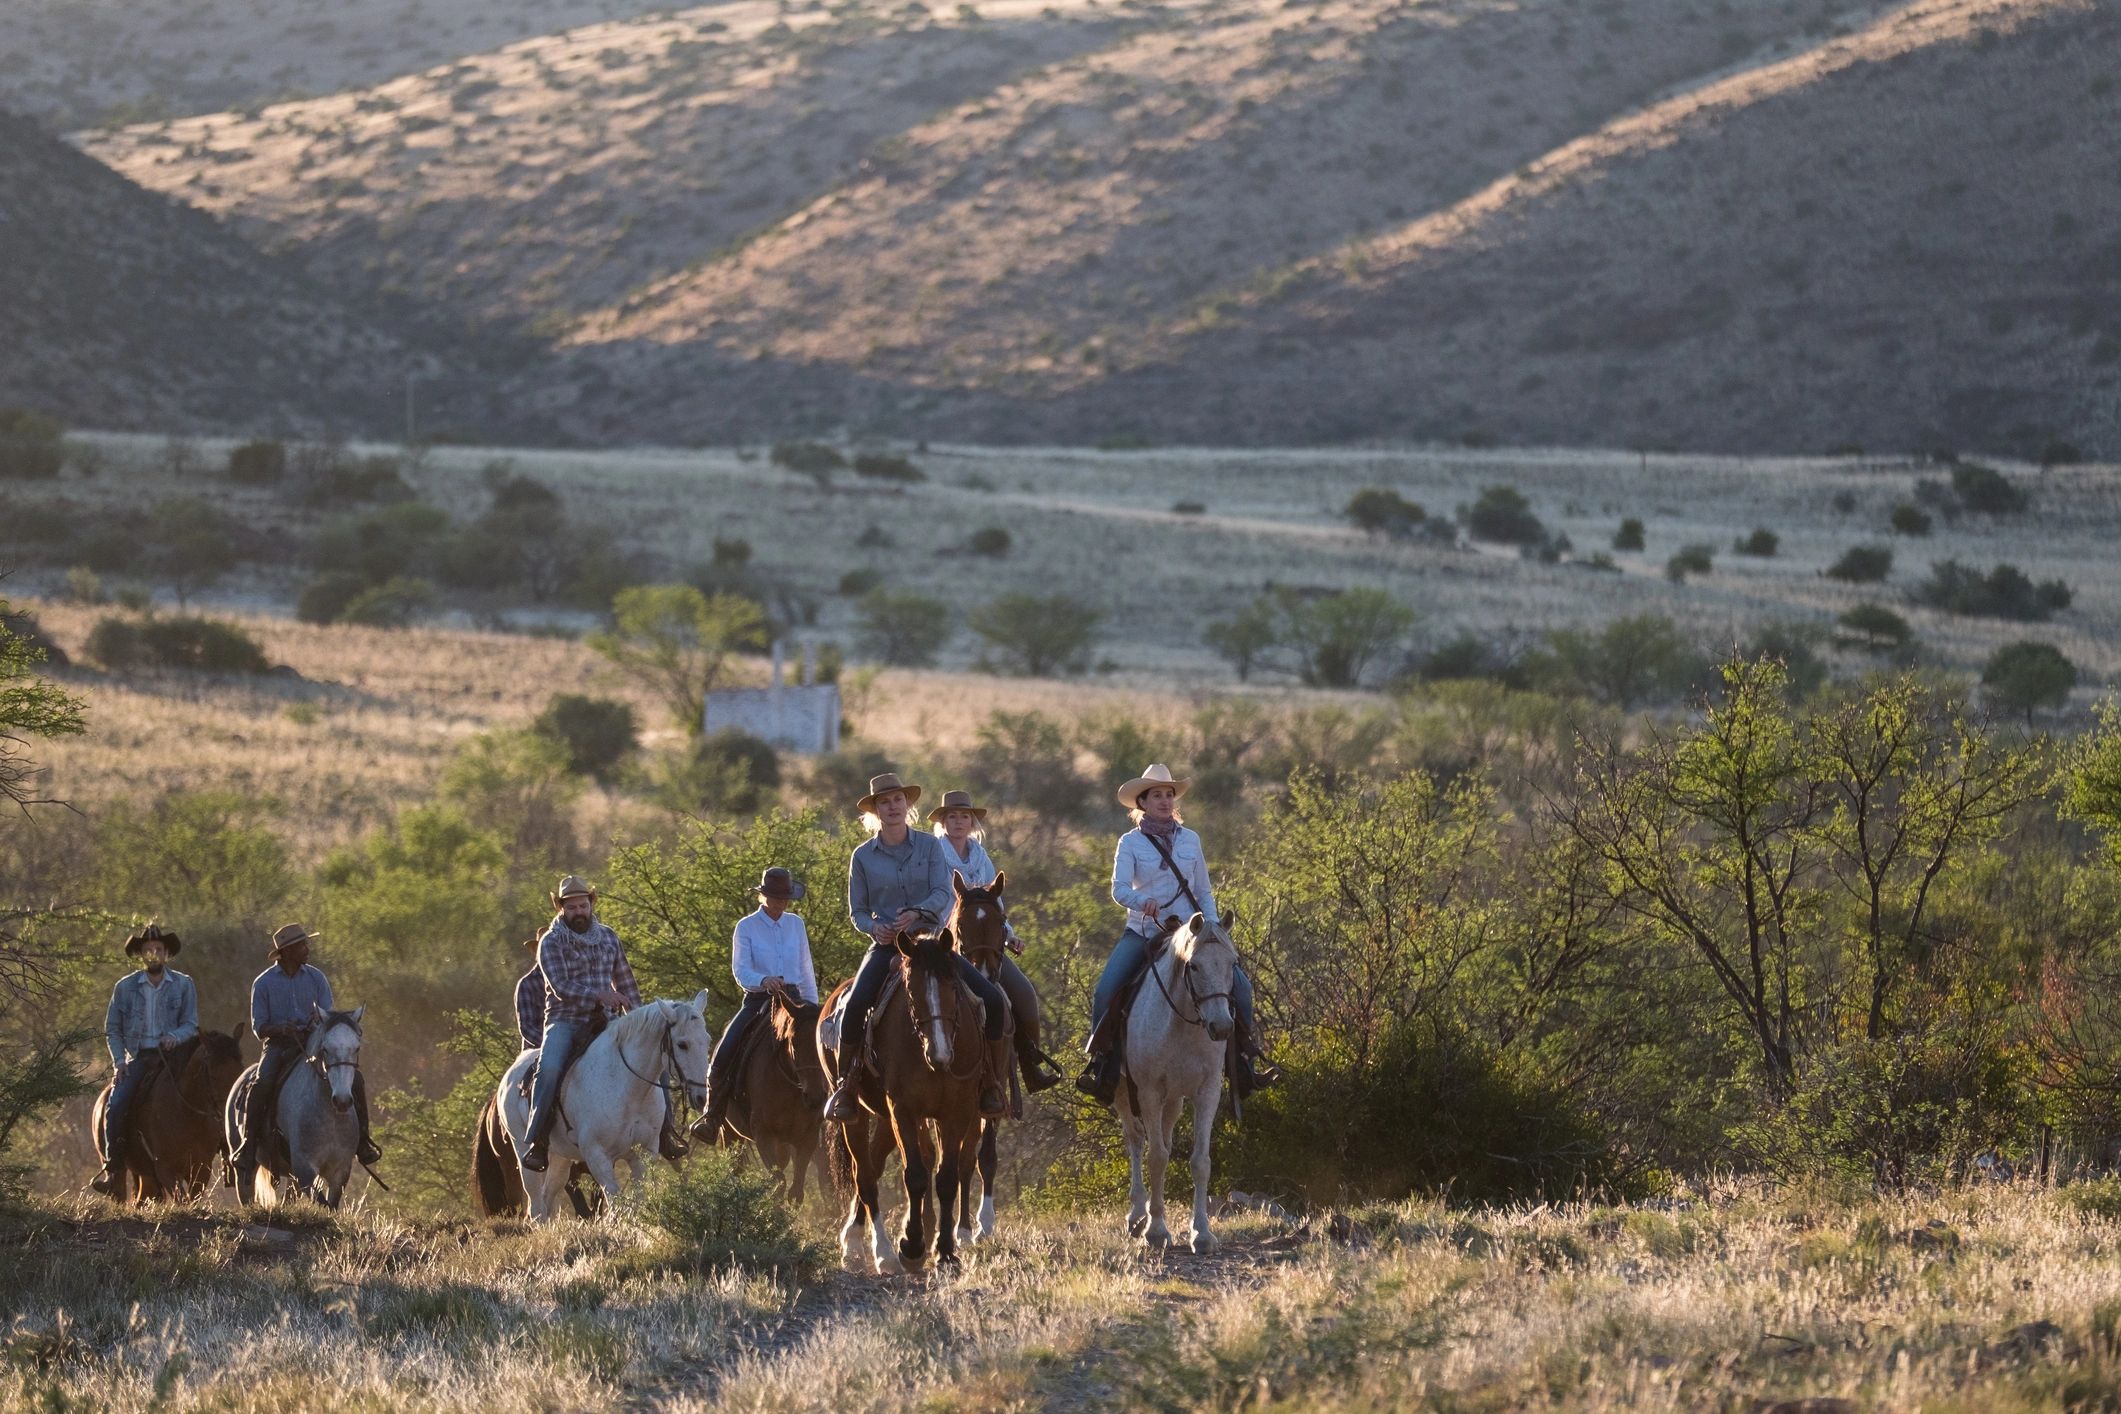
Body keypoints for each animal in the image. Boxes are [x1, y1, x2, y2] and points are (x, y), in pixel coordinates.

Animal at [91, 1029, 246, 1203]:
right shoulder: (165, 1169)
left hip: (147, 1176)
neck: (186, 1115)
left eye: (240, 1070)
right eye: (212, 1075)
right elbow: (182, 1200)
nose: (229, 1112)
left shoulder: (201, 1168)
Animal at [494, 995, 711, 1221]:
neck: (628, 1088)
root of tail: (513, 1071)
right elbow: (616, 1204)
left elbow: (638, 1202)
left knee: (547, 1198)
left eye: (707, 1040)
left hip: (560, 1157)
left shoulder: (644, 1153)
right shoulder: (597, 1156)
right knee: (536, 1205)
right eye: (682, 1044)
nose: (702, 1097)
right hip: (523, 1150)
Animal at [708, 990, 828, 1203]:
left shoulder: (807, 1137)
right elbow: (779, 1185)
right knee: (736, 1170)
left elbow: (795, 1192)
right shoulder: (763, 1135)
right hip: (729, 1133)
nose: (814, 1097)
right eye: (793, 1041)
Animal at [824, 928, 991, 1275]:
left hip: (885, 1118)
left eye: (952, 985)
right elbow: (914, 1175)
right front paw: (912, 1247)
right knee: (865, 1176)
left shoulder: (957, 1112)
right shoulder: (904, 1109)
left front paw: (946, 1253)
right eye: (911, 992)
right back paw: (878, 1251)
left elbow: (946, 1177)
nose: (940, 1054)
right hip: (857, 1114)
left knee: (873, 1166)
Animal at [1115, 910, 1239, 1254]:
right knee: (1136, 1139)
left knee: (1164, 1139)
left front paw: (1202, 1234)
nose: (1222, 1027)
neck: (1182, 1023)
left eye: (1233, 963)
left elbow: (1200, 1161)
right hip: (1124, 1093)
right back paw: (1137, 1216)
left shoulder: (1207, 1093)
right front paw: (1156, 1231)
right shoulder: (1148, 1093)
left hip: (1174, 1100)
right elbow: (1156, 1157)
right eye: (1194, 965)